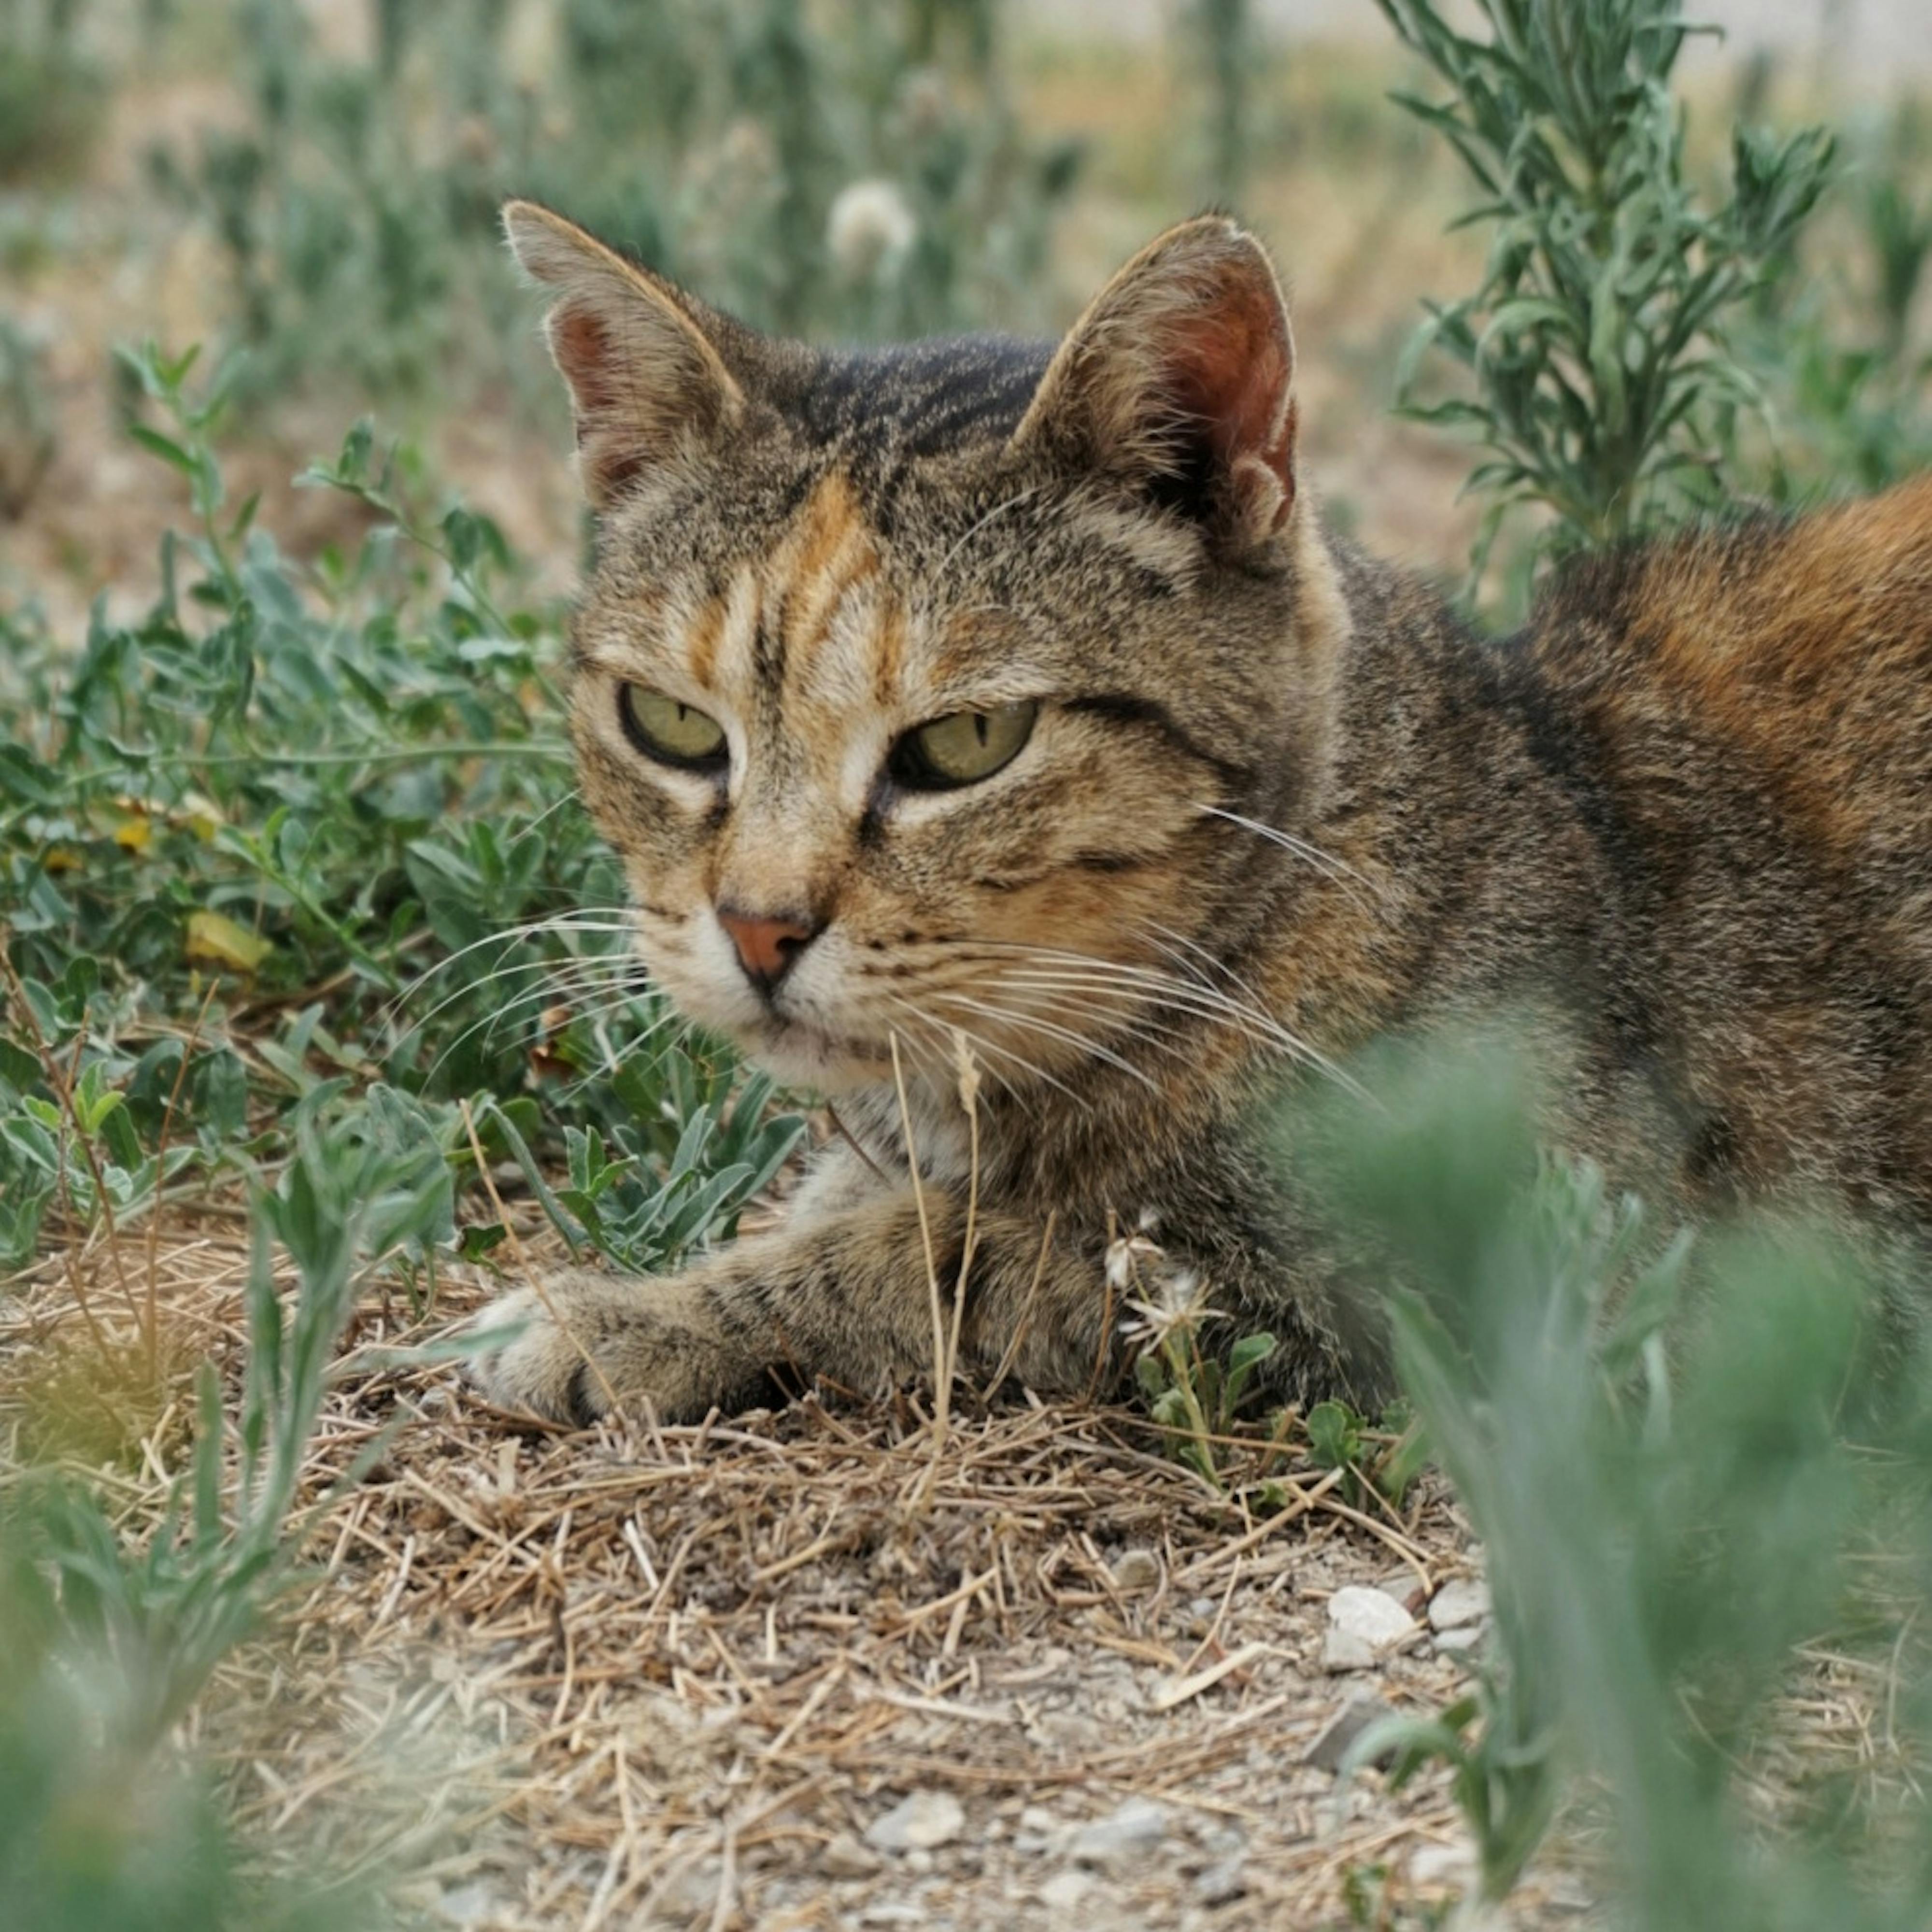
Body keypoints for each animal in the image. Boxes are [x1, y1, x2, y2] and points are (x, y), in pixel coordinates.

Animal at [468, 204, 1932, 1430]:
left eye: (963, 745)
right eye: (670, 725)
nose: (757, 928)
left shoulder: (1495, 1281)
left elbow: (938, 1257)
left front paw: (617, 1318)